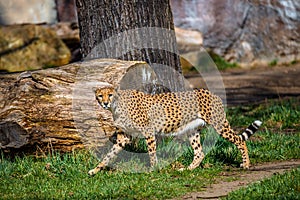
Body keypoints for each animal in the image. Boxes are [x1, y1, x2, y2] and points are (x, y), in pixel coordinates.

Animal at [88, 86, 262, 175]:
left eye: (110, 95)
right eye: (100, 95)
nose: (104, 103)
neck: (116, 106)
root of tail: (211, 92)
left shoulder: (148, 132)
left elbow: (151, 153)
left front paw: (153, 170)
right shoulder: (124, 138)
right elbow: (108, 155)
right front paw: (95, 170)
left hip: (219, 125)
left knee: (239, 140)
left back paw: (246, 164)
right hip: (192, 130)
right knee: (199, 152)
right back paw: (187, 169)